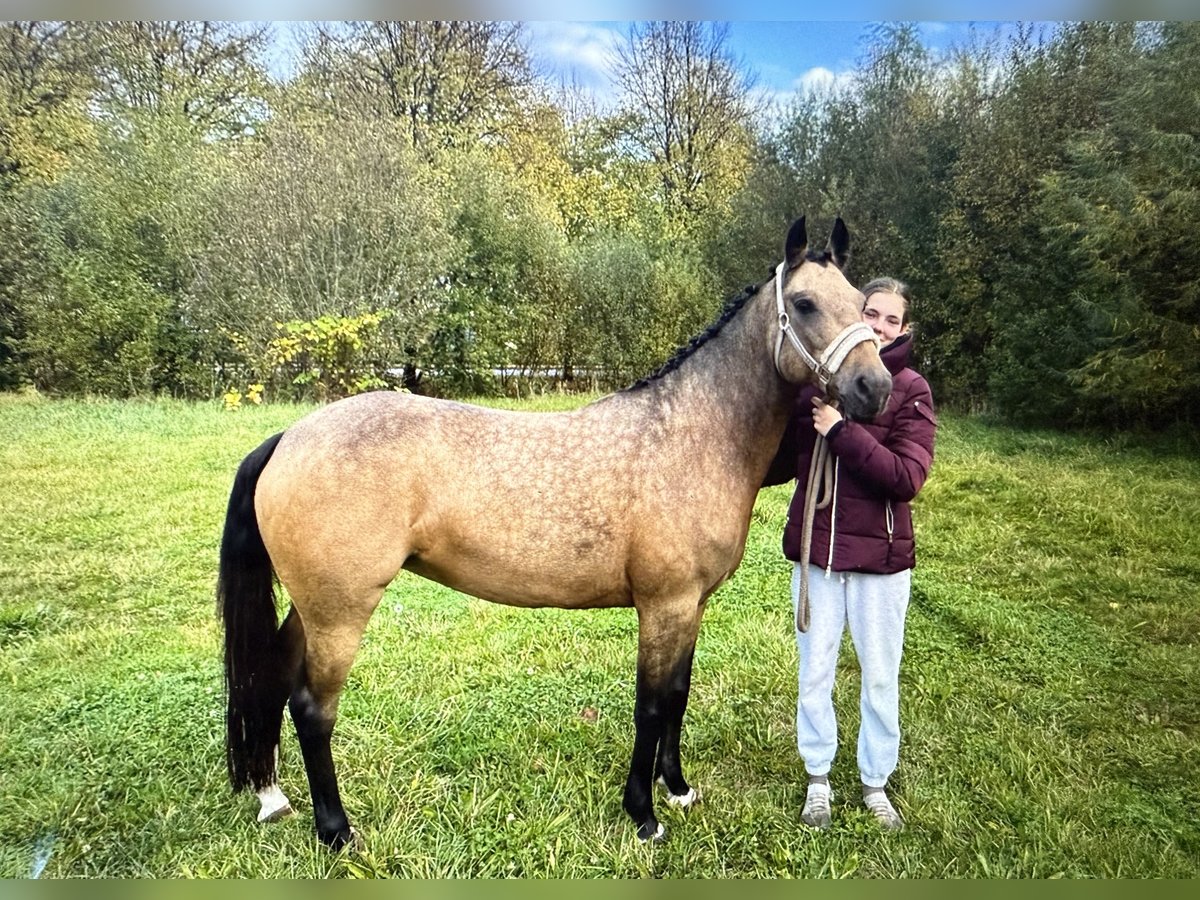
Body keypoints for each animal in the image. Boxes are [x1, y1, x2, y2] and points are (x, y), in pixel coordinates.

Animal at [216, 214, 892, 849]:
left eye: (861, 302)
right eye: (803, 304)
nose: (875, 388)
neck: (690, 433)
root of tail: (289, 438)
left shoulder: (691, 606)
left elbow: (678, 694)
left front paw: (677, 789)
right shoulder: (665, 605)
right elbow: (651, 706)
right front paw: (643, 815)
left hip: (313, 609)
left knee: (274, 682)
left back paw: (273, 797)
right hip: (341, 614)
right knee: (313, 710)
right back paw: (336, 831)